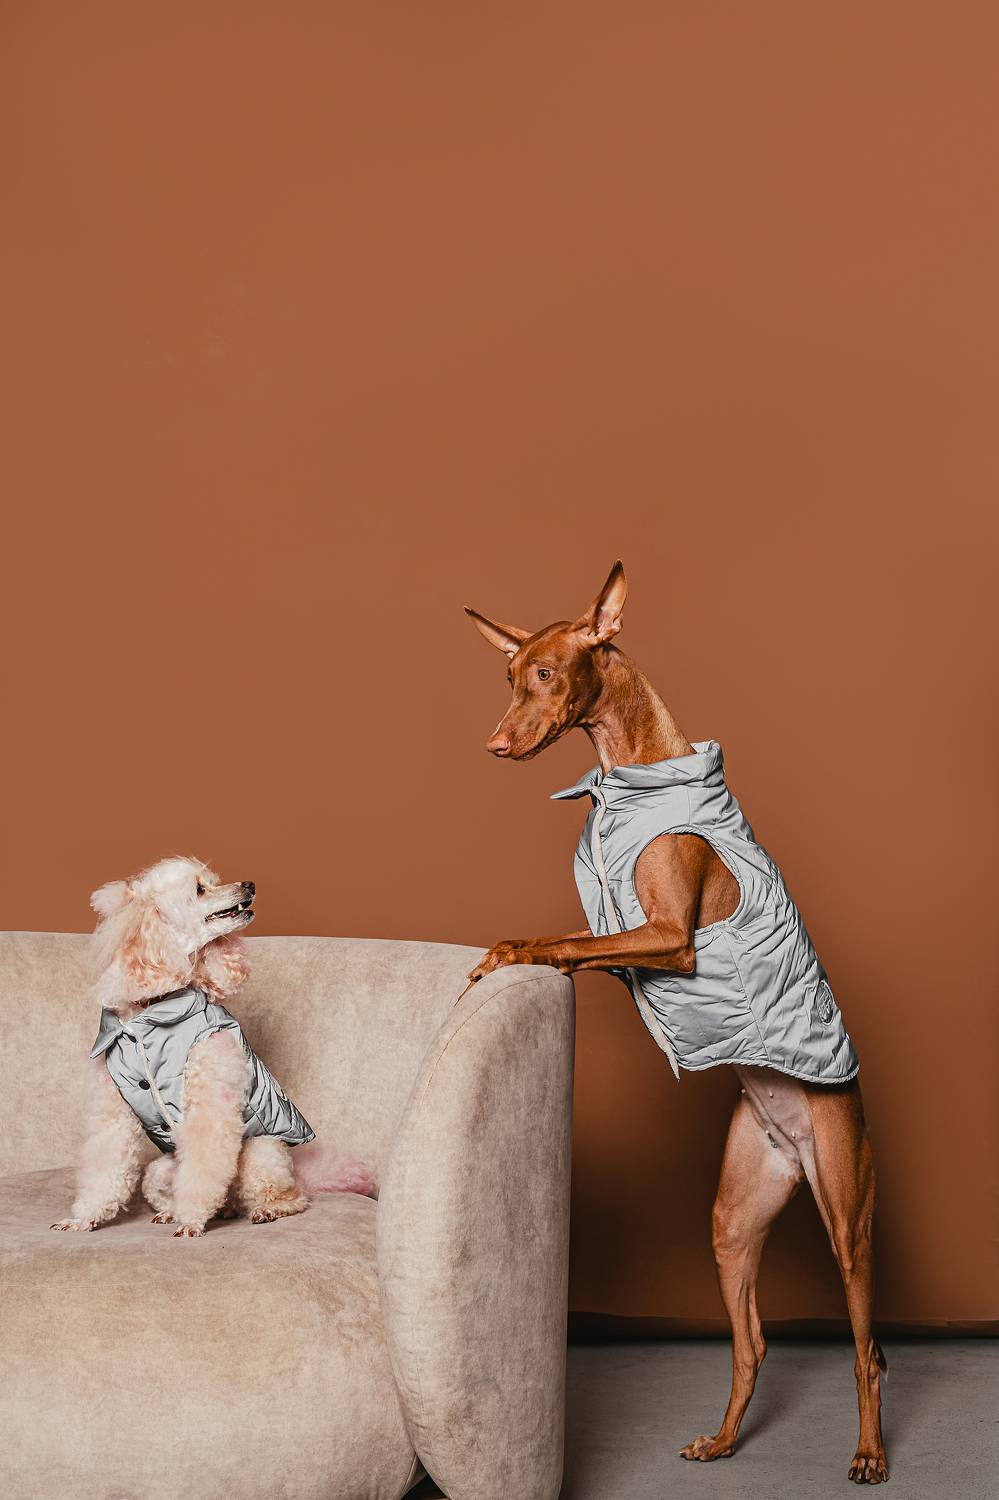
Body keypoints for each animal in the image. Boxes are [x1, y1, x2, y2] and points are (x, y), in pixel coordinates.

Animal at [52, 856, 373, 1239]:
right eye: (199, 890)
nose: (250, 884)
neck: (152, 1011)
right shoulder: (113, 1113)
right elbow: (105, 1167)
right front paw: (84, 1218)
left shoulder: (210, 1103)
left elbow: (204, 1167)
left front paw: (191, 1221)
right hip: (159, 1172)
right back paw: (177, 1212)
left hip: (259, 1155)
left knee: (290, 1195)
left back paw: (264, 1209)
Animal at [465, 562, 888, 1485]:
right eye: (506, 677)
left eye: (544, 673)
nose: (494, 746)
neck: (633, 776)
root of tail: (798, 1142)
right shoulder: (642, 936)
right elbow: (581, 942)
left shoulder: (671, 940)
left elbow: (563, 942)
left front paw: (507, 952)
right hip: (733, 1220)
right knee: (753, 1342)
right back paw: (723, 1439)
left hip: (847, 1212)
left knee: (866, 1349)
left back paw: (871, 1453)